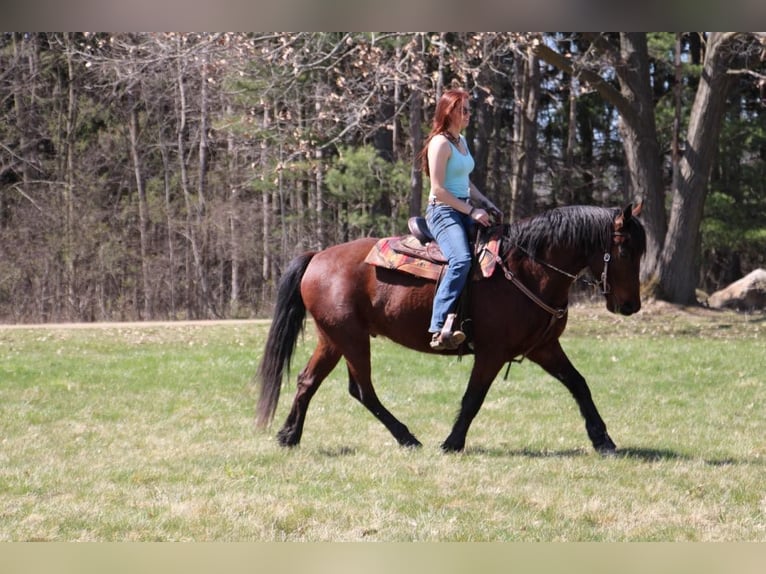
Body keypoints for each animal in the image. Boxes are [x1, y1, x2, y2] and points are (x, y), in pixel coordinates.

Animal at [258, 205, 648, 456]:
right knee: (362, 390)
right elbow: (473, 398)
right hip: (350, 339)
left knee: (308, 381)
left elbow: (579, 385)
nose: (631, 305)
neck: (526, 269)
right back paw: (407, 438)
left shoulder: (544, 347)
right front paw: (452, 443)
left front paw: (604, 441)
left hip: (333, 339)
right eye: (624, 250)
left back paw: (289, 435)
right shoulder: (492, 352)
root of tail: (318, 256)